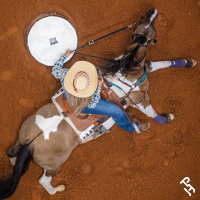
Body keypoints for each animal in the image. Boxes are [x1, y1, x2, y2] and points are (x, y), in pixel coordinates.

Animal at [0, 7, 159, 198]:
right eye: (145, 22)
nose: (152, 10)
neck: (126, 71)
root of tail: (32, 141)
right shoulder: (139, 97)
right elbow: (147, 110)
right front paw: (157, 121)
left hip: (21, 136)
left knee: (12, 155)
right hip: (54, 165)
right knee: (43, 181)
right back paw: (58, 189)